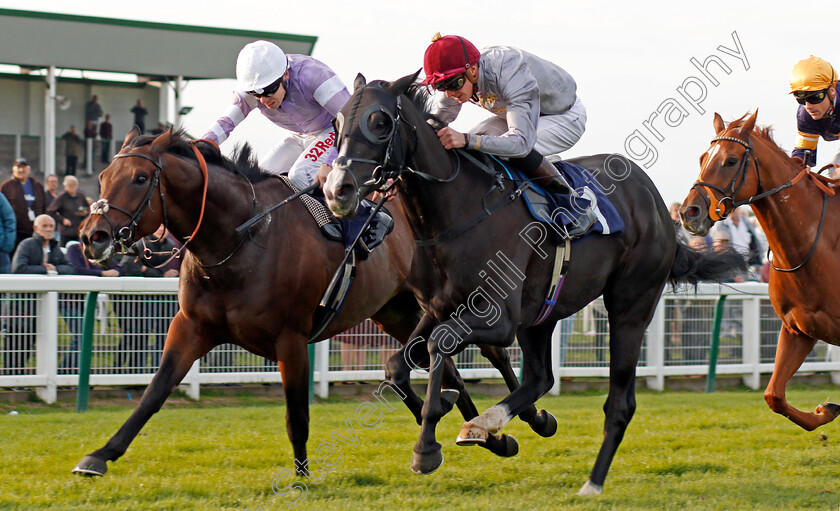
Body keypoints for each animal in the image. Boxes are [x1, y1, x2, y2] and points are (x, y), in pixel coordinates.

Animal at [74, 129, 552, 480]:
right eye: (103, 175)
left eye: (140, 179)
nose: (92, 236)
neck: (239, 238)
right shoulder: (191, 326)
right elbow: (153, 394)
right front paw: (100, 454)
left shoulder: (291, 338)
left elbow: (296, 414)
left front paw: (302, 475)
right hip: (395, 310)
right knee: (441, 368)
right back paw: (486, 434)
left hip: (451, 298)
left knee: (488, 353)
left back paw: (526, 420)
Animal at [324, 75, 744, 496]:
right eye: (337, 122)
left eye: (380, 121)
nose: (337, 188)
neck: (454, 213)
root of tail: (658, 204)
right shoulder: (439, 307)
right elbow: (398, 364)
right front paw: (452, 411)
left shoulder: (498, 319)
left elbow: (438, 344)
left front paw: (426, 446)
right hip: (543, 312)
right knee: (542, 376)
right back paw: (498, 423)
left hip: (630, 304)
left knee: (619, 402)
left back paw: (591, 482)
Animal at [684, 111, 840, 432]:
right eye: (703, 157)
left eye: (731, 160)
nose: (688, 212)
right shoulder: (797, 330)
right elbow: (774, 395)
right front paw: (826, 410)